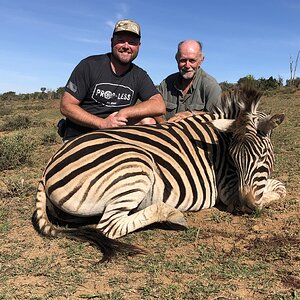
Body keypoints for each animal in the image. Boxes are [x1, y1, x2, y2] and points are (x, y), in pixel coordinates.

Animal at [32, 84, 286, 260]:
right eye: (233, 159)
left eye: (262, 157)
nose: (246, 207)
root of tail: (47, 168)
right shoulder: (228, 189)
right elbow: (280, 188)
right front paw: (266, 198)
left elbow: (278, 186)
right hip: (136, 164)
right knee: (109, 226)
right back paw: (172, 214)